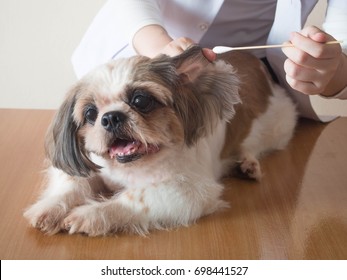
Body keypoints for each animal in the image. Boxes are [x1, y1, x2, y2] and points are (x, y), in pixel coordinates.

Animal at [23, 46, 296, 236]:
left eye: (140, 100)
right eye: (90, 113)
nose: (111, 117)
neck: (131, 167)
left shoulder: (189, 190)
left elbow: (135, 198)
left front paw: (91, 214)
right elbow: (73, 184)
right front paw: (50, 208)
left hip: (278, 127)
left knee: (255, 145)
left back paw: (247, 163)